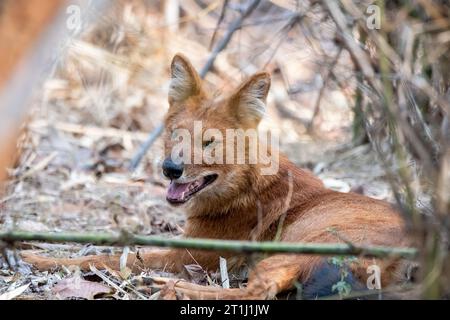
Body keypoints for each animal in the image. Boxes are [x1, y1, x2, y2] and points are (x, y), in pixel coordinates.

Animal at [22, 53, 414, 300]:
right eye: (176, 135)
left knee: (257, 291)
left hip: (304, 244)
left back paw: (174, 288)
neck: (245, 188)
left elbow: (107, 258)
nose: (170, 168)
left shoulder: (193, 254)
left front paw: (36, 259)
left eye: (209, 142)